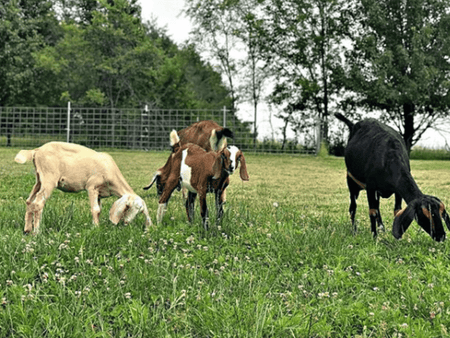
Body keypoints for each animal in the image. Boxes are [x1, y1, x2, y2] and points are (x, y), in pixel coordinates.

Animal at [14, 141, 152, 234]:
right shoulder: (92, 187)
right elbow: (95, 209)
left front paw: (97, 224)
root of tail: (36, 151)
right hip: (49, 178)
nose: (127, 223)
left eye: (140, 211)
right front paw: (96, 228)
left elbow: (99, 210)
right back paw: (37, 232)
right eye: (129, 206)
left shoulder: (99, 194)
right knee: (38, 203)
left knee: (29, 201)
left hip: (39, 179)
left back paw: (27, 230)